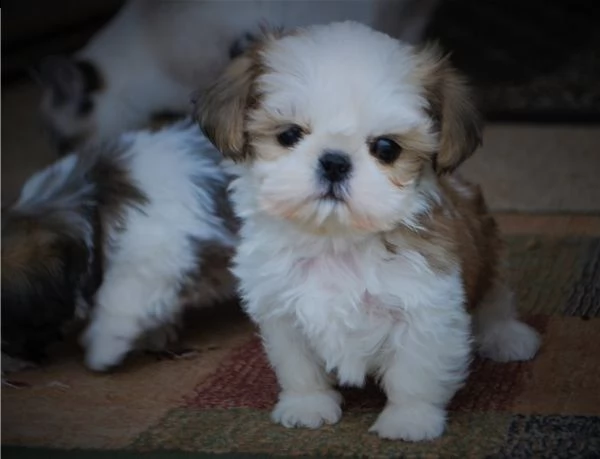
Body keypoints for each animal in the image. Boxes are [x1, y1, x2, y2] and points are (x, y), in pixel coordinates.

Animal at [195, 21, 540, 442]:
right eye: (289, 135)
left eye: (387, 148)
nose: (334, 162)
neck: (336, 241)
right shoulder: (282, 309)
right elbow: (298, 366)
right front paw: (307, 404)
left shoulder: (425, 307)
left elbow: (414, 373)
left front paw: (409, 419)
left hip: (489, 250)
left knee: (496, 297)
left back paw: (508, 336)